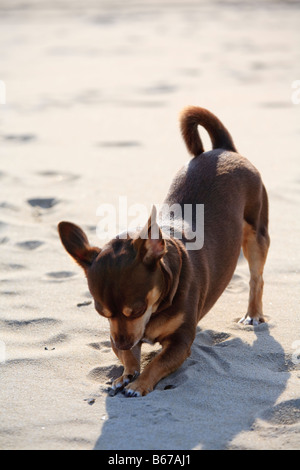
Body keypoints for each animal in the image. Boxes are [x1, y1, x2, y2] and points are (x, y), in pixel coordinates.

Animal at [58, 105, 270, 396]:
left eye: (136, 310)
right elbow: (130, 357)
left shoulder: (180, 342)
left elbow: (157, 363)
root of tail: (222, 149)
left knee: (256, 278)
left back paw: (253, 314)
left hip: (256, 235)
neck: (156, 308)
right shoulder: (120, 334)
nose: (122, 343)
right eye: (101, 313)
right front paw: (125, 373)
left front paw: (139, 384)